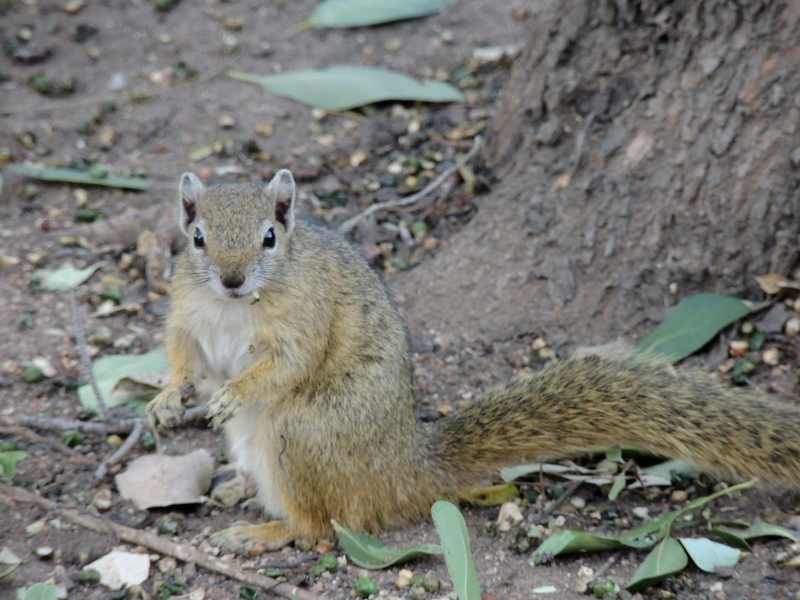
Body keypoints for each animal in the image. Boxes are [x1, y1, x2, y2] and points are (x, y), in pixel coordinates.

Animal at [147, 169, 800, 553]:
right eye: (197, 237)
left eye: (270, 237)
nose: (232, 279)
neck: (233, 307)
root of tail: (406, 470)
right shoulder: (187, 311)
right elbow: (181, 352)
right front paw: (165, 398)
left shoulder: (304, 318)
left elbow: (286, 366)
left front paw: (233, 391)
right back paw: (236, 492)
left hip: (302, 435)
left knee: (324, 527)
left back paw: (263, 530)